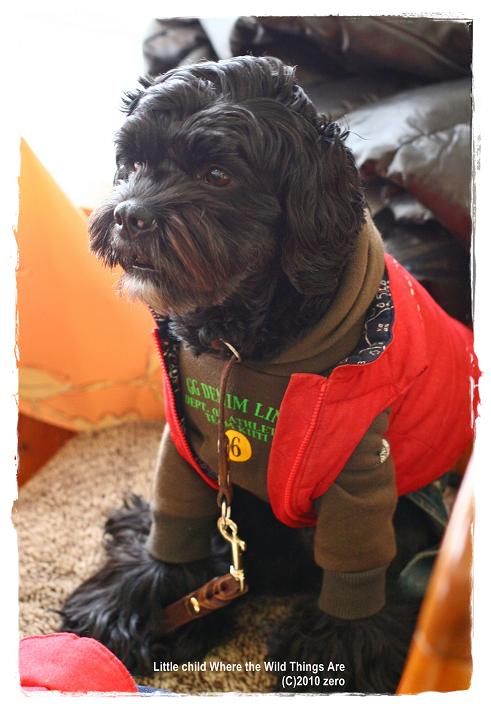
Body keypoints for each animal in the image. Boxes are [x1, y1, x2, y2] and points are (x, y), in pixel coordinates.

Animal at [59, 56, 477, 693]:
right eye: (131, 165)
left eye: (217, 175)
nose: (129, 215)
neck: (245, 346)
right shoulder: (186, 439)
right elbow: (170, 524)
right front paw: (134, 600)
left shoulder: (362, 466)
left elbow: (356, 571)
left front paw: (341, 660)